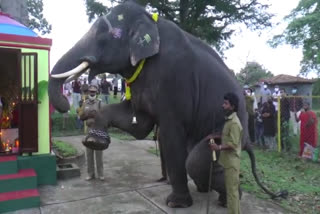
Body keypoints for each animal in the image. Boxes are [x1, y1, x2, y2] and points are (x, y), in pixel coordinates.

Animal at [49, 0, 288, 207]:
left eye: (101, 34)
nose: (67, 107)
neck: (150, 20)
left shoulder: (174, 80)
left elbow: (170, 134)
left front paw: (176, 204)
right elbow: (139, 123)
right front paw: (94, 140)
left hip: (228, 134)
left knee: (196, 162)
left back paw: (231, 197)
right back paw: (211, 193)